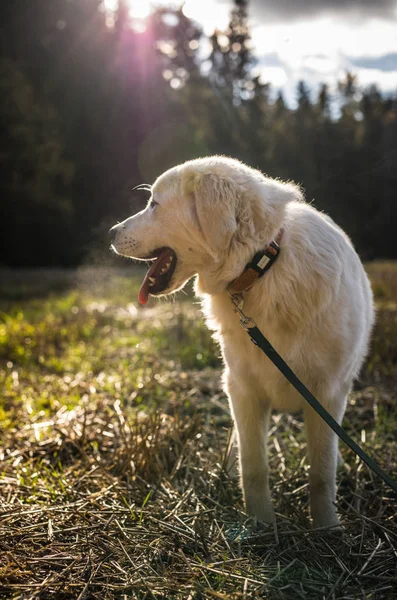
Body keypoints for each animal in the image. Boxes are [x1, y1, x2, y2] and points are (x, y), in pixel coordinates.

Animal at [109, 157, 374, 528]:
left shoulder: (327, 394)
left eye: (154, 204)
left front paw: (326, 528)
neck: (262, 266)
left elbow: (322, 473)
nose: (110, 233)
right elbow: (254, 468)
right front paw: (261, 525)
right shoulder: (243, 390)